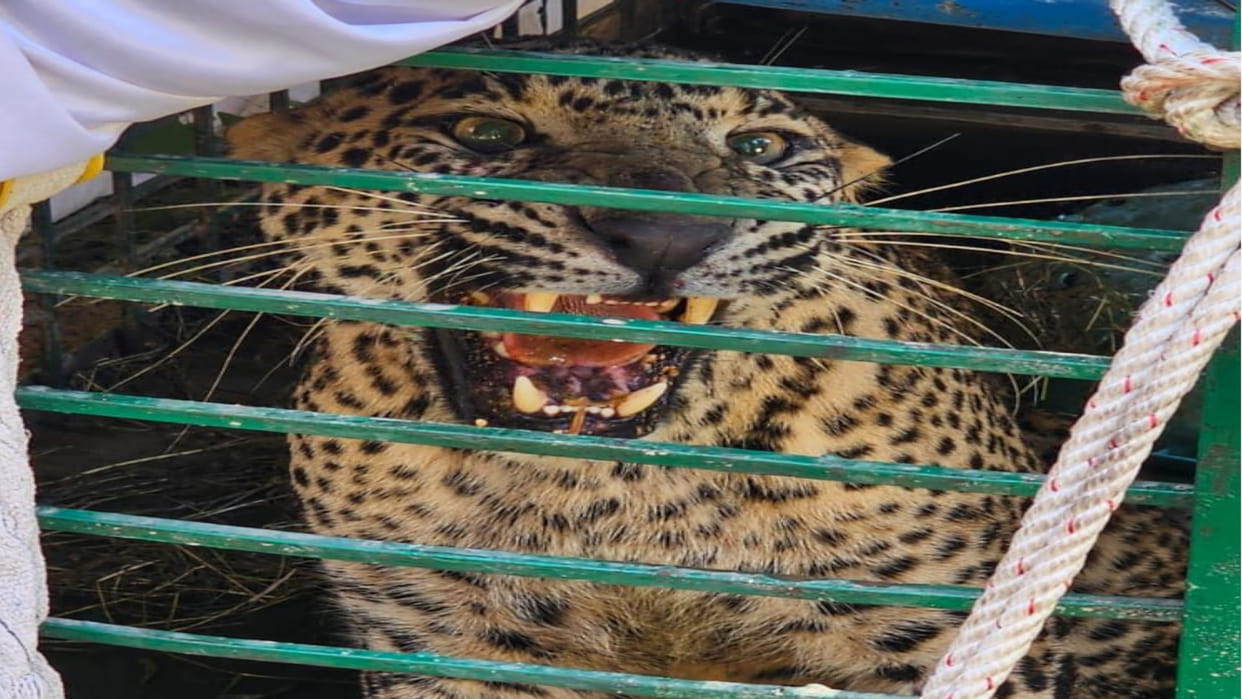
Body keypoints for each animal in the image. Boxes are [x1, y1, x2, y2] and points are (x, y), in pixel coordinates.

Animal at [226, 40, 1187, 699]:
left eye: (761, 147)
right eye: (484, 130)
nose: (663, 230)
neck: (615, 505)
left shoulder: (931, 630)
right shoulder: (438, 641)